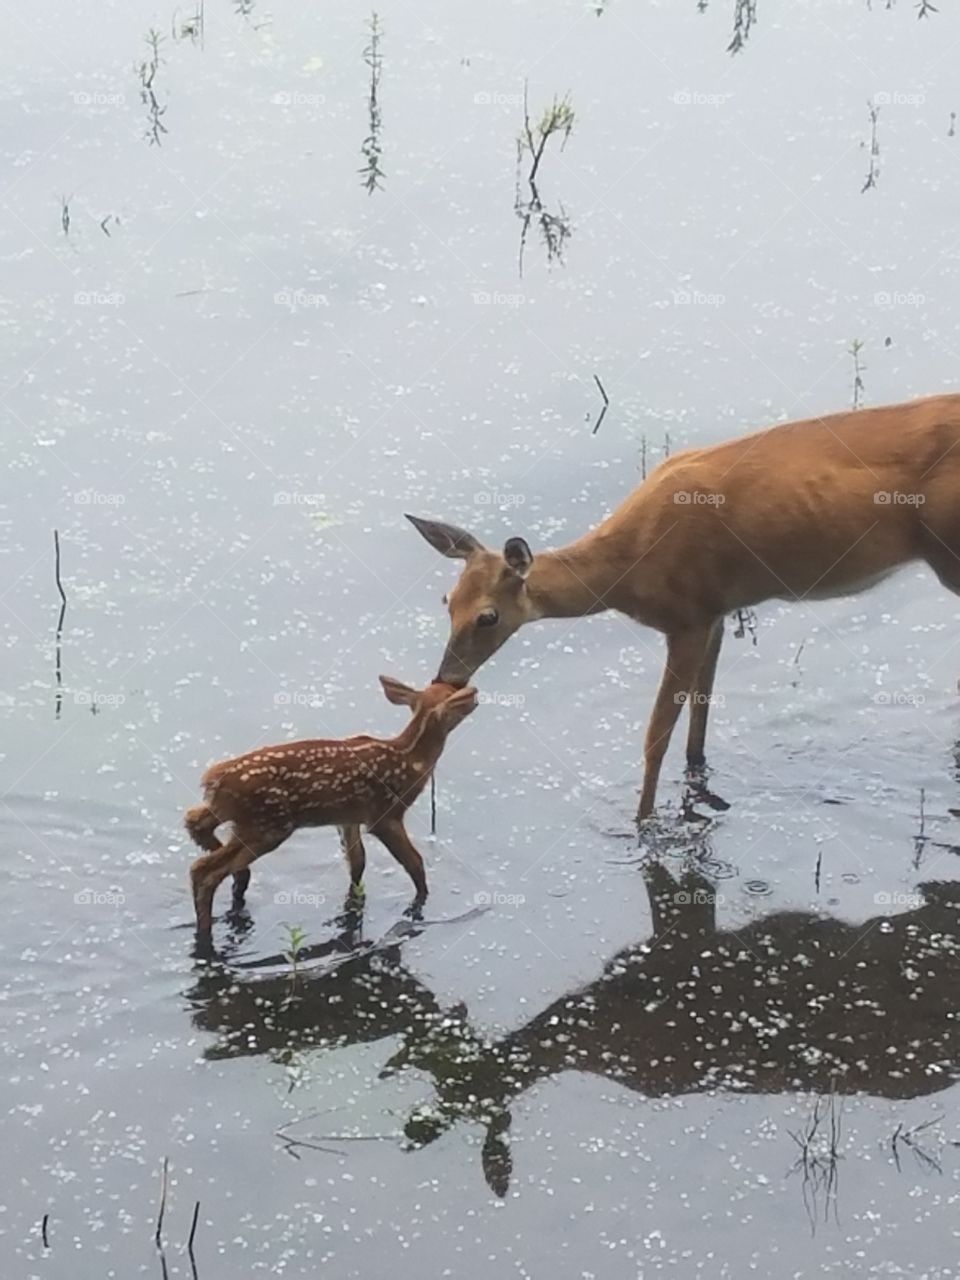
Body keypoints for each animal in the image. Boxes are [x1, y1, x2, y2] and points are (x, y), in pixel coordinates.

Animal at [184, 677, 478, 936]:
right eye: (453, 695)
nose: (475, 698)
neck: (411, 758)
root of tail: (213, 778)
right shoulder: (385, 814)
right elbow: (414, 863)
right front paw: (423, 901)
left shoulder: (348, 817)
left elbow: (358, 862)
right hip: (267, 824)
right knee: (204, 870)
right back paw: (207, 925)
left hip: (235, 814)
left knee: (193, 821)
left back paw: (237, 884)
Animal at [407, 392, 960, 822]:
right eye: (447, 602)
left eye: (488, 616)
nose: (447, 678)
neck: (625, 572)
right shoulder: (714, 612)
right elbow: (700, 711)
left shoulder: (686, 618)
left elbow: (656, 734)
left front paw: (641, 821)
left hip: (950, 555)